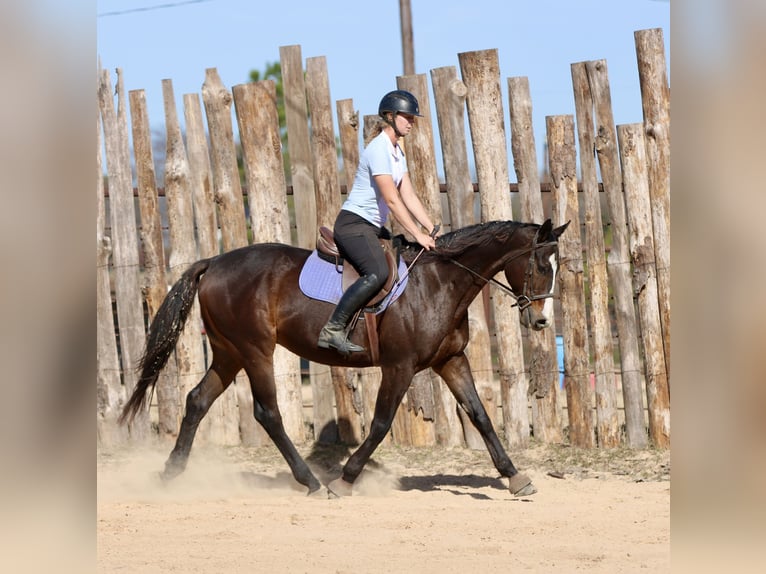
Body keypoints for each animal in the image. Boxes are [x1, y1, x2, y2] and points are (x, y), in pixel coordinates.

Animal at [120, 218, 568, 498]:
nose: (542, 320)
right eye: (540, 265)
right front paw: (346, 479)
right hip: (255, 350)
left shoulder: (452, 361)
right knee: (268, 413)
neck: (440, 282)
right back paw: (311, 482)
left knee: (197, 400)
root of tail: (213, 262)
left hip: (229, 352)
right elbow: (382, 423)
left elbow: (480, 416)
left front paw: (515, 477)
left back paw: (171, 473)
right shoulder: (400, 366)